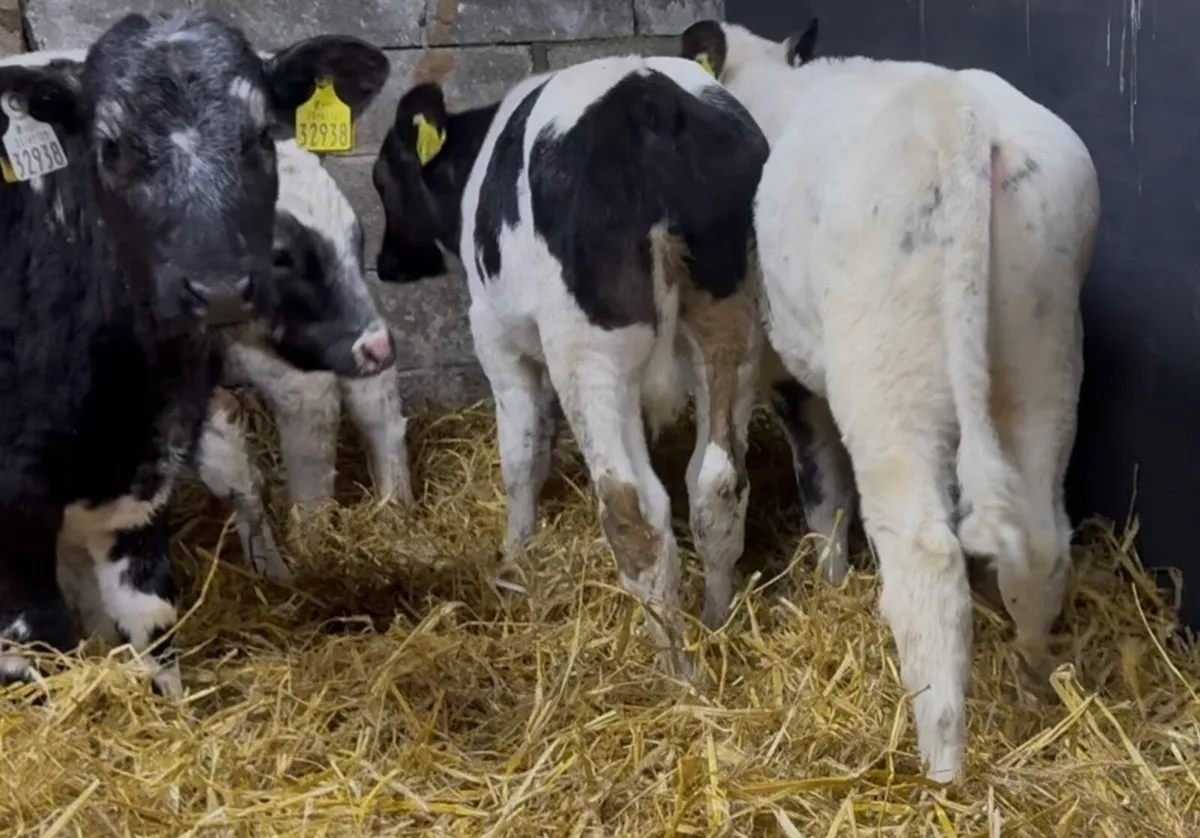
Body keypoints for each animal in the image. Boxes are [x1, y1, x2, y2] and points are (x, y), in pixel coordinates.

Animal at [0, 10, 389, 696]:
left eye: (261, 134)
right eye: (111, 146)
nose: (219, 288)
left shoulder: (145, 477)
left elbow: (152, 620)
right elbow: (36, 645)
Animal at [370, 56, 771, 679]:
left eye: (384, 180)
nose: (386, 264)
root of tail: (651, 101)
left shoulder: (497, 338)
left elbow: (520, 453)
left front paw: (515, 554)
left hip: (587, 351)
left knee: (633, 508)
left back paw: (676, 674)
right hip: (734, 328)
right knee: (718, 482)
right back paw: (715, 620)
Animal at [678, 18, 1101, 781]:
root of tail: (960, 114)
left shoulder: (783, 367)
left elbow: (810, 482)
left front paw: (819, 580)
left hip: (889, 380)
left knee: (926, 558)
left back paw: (940, 764)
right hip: (1044, 355)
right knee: (1041, 539)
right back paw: (1033, 682)